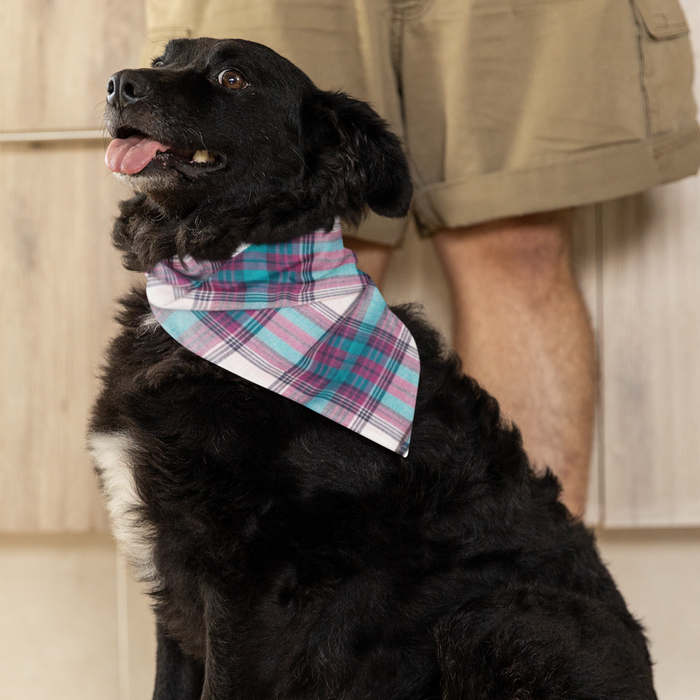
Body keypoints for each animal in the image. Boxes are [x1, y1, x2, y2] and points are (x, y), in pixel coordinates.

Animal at [89, 38, 656, 700]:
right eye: (163, 58)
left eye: (233, 78)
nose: (118, 84)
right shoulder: (175, 582)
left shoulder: (249, 584)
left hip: (495, 619)